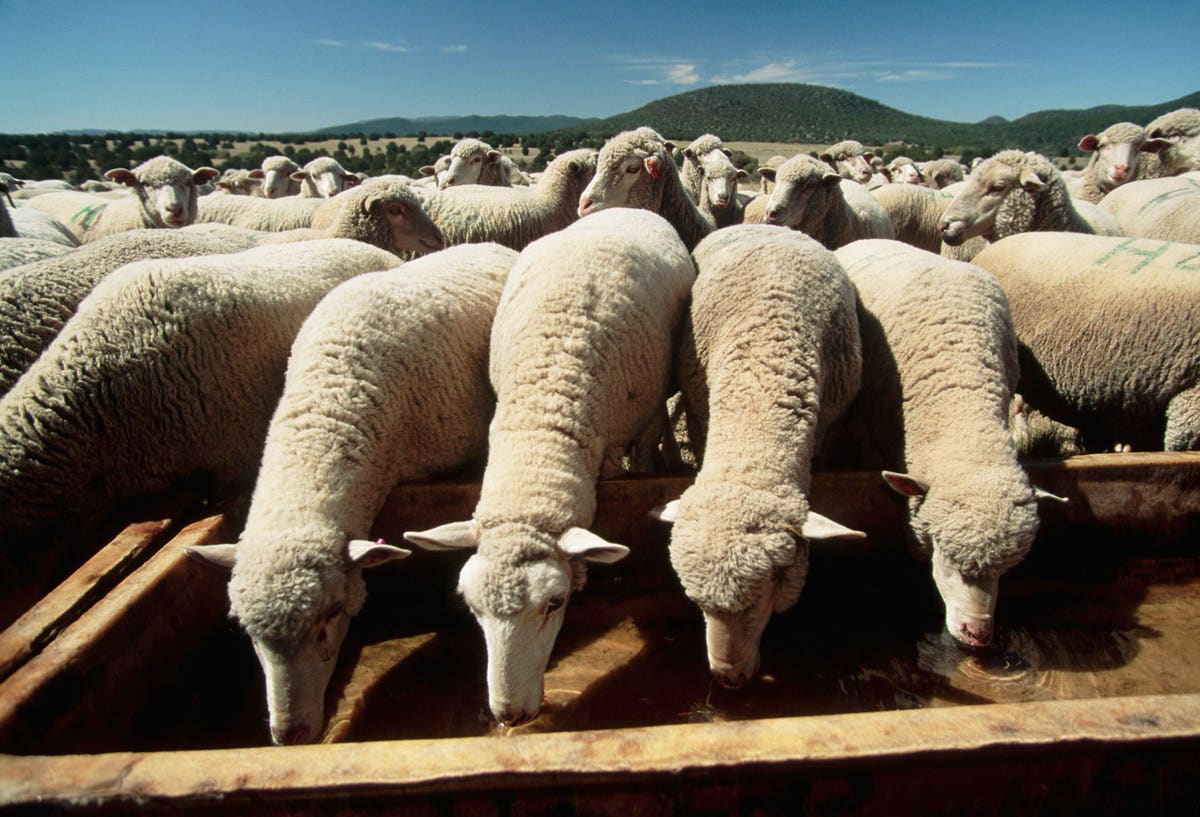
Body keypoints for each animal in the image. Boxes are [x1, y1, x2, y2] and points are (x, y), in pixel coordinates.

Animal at [653, 225, 865, 689]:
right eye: (699, 604)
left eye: (762, 592)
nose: (726, 677)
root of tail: (771, 225)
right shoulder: (700, 410)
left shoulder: (827, 426)